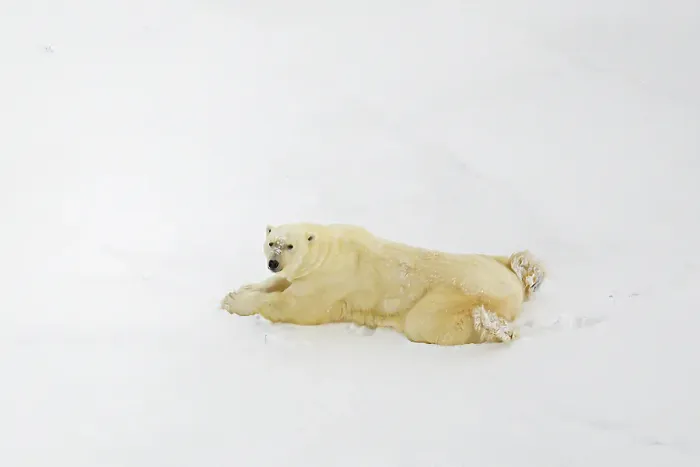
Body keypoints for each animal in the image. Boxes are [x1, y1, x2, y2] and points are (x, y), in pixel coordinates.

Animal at [220, 222, 545, 345]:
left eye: (289, 245)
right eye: (271, 242)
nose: (273, 262)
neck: (328, 250)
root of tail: (513, 288)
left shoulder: (329, 283)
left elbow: (292, 305)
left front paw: (233, 301)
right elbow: (280, 284)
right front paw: (244, 288)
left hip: (454, 292)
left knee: (427, 322)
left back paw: (493, 326)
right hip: (487, 261)